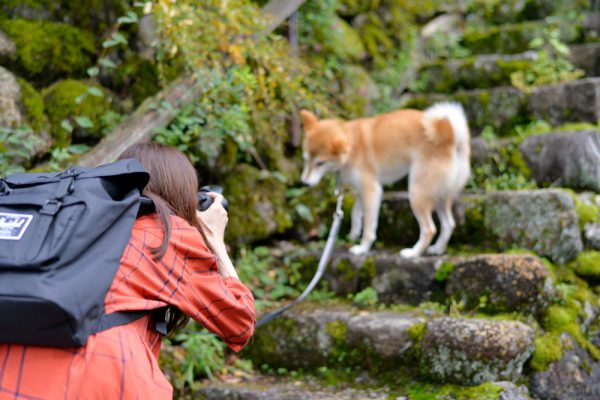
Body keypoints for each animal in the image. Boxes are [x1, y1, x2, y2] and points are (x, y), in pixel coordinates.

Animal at [300, 103, 468, 258]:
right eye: (306, 159)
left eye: (320, 163)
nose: (304, 183)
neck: (353, 145)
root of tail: (450, 138)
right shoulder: (362, 192)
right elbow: (355, 212)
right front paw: (354, 232)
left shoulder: (372, 190)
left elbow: (369, 226)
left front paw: (362, 248)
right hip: (439, 196)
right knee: (449, 224)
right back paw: (438, 249)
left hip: (417, 193)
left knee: (429, 229)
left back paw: (413, 253)